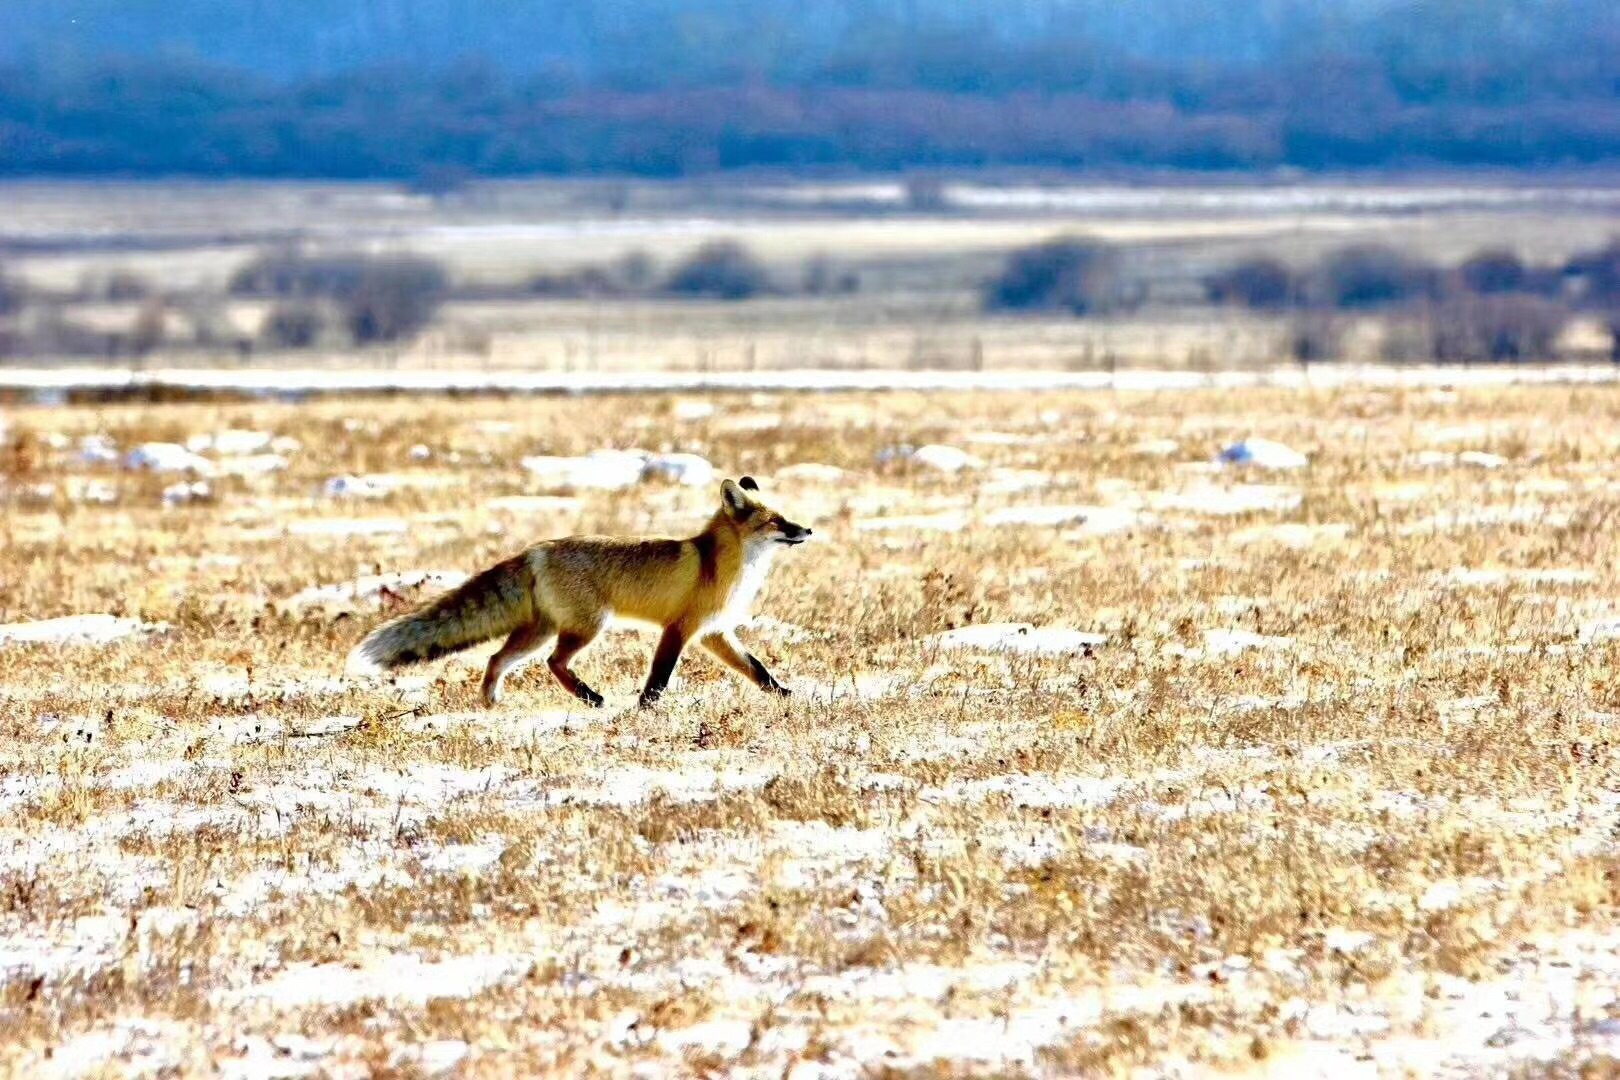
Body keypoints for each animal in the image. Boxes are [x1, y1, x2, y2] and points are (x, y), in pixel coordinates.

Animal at [349, 479, 816, 709]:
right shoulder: (680, 628)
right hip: (588, 627)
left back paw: (491, 702)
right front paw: (646, 709)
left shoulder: (715, 633)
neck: (721, 565)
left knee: (497, 658)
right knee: (555, 662)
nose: (808, 530)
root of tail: (536, 549)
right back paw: (589, 698)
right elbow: (659, 676)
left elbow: (758, 669)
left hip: (539, 632)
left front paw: (785, 696)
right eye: (777, 522)